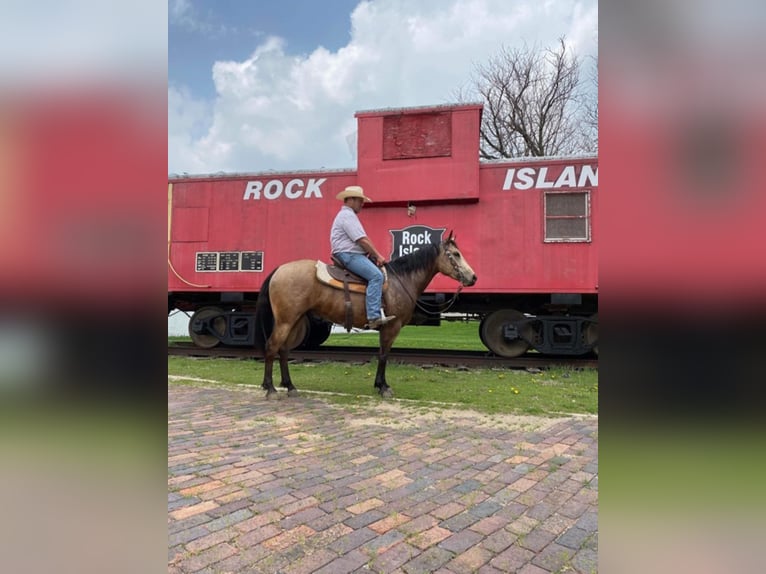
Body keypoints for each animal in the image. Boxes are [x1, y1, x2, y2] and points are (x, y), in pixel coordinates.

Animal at [255, 232, 476, 398]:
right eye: (455, 254)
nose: (473, 277)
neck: (401, 280)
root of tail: (279, 270)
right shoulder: (391, 326)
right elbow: (384, 355)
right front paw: (384, 387)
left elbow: (381, 354)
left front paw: (379, 384)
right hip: (286, 320)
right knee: (272, 346)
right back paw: (271, 388)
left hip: (296, 320)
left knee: (284, 350)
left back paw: (290, 386)